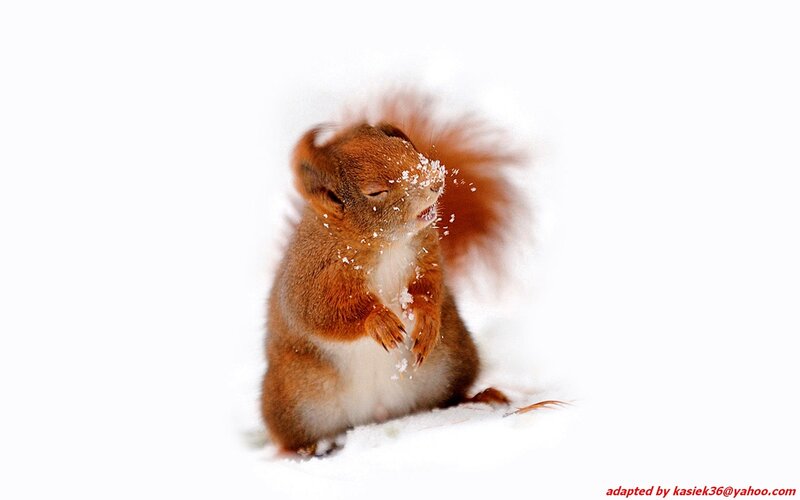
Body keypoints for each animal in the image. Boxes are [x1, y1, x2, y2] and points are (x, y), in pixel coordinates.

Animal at [260, 92, 525, 454]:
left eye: (407, 147)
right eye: (375, 191)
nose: (435, 180)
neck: (386, 244)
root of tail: (378, 414)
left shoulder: (426, 251)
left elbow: (430, 285)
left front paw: (425, 317)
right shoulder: (312, 276)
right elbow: (323, 312)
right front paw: (379, 321)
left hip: (451, 360)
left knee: (447, 398)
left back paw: (481, 397)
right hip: (296, 400)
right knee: (291, 435)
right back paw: (302, 450)